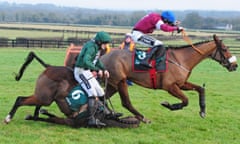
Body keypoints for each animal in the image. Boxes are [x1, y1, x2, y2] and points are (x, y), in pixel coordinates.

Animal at [3, 51, 140, 128]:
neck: (103, 116)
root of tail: (49, 67)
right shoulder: (72, 122)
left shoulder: (69, 120)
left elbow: (46, 117)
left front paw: (37, 114)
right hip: (44, 98)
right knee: (20, 99)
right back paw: (8, 118)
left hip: (44, 96)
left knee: (33, 105)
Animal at [98, 34, 237, 122]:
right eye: (224, 49)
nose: (235, 65)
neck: (182, 59)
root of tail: (101, 58)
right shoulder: (170, 86)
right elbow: (186, 100)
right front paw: (169, 105)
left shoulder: (181, 84)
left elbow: (200, 89)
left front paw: (202, 111)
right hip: (121, 81)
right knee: (125, 102)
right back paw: (142, 118)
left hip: (113, 83)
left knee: (103, 98)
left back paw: (109, 114)